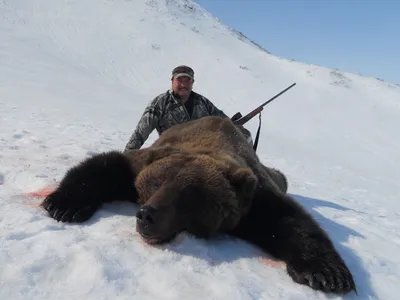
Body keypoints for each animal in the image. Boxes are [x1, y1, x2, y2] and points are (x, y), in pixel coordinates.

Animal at [40, 115, 356, 296]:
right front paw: (63, 204)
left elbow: (290, 221)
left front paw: (327, 274)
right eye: (156, 183)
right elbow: (105, 165)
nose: (147, 215)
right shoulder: (143, 162)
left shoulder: (254, 196)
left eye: (189, 195)